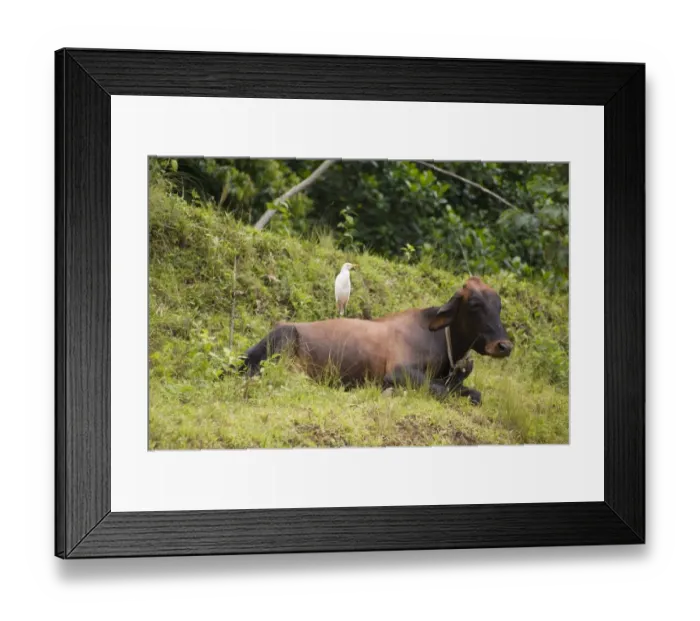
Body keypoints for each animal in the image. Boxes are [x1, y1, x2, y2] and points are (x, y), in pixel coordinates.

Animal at [239, 276, 513, 405]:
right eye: (475, 304)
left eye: (499, 306)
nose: (504, 345)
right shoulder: (399, 371)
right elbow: (440, 390)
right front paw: (389, 392)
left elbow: (474, 394)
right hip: (283, 343)